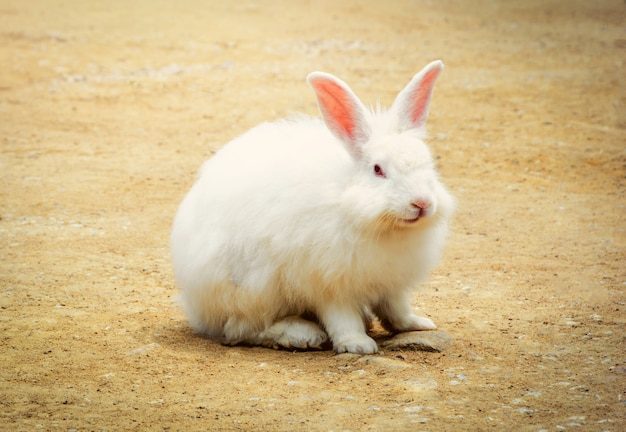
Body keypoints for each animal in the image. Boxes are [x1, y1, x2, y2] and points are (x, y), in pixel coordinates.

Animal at [171, 60, 454, 352]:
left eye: (428, 162)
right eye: (378, 169)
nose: (421, 203)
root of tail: (198, 311)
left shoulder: (391, 284)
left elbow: (396, 308)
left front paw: (417, 323)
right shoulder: (329, 283)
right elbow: (341, 316)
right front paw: (357, 344)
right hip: (253, 290)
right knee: (242, 329)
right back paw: (303, 334)